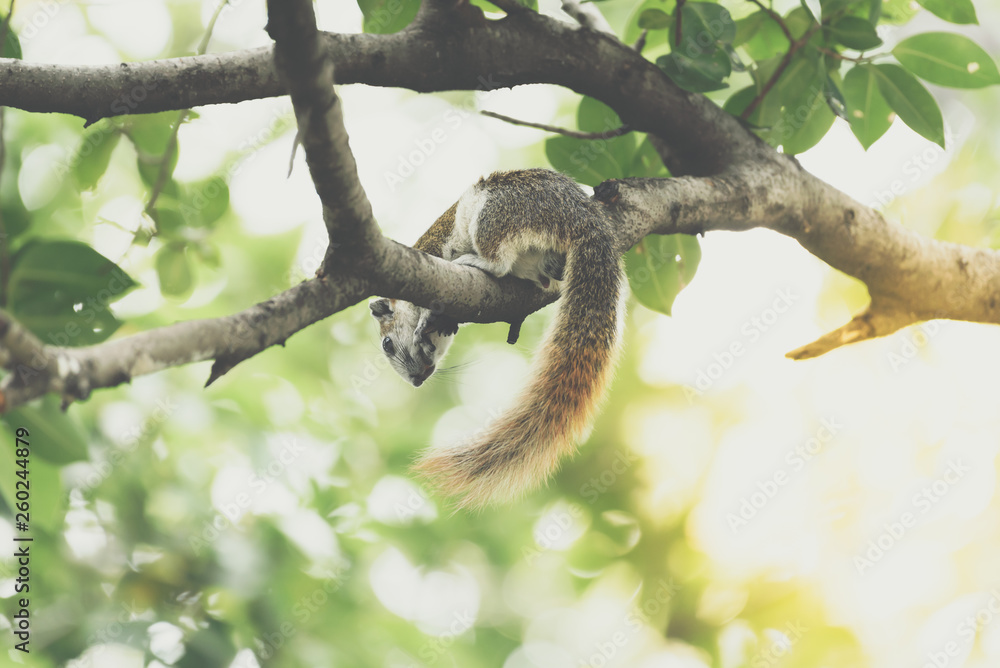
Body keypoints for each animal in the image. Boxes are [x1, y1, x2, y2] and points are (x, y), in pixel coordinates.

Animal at [372, 170, 620, 508]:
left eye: (387, 345)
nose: (416, 380)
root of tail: (584, 215)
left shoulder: (434, 254)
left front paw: (427, 319)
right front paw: (442, 325)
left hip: (499, 211)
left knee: (498, 261)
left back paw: (477, 262)